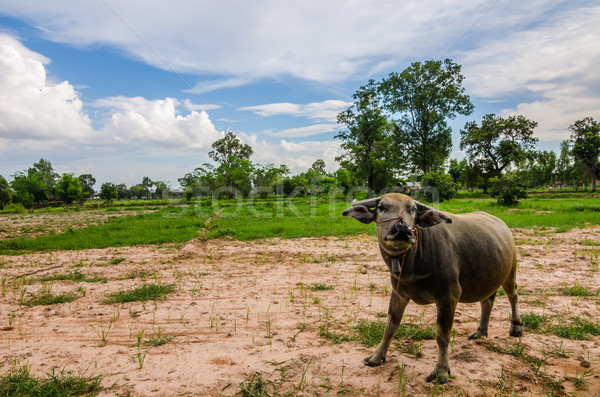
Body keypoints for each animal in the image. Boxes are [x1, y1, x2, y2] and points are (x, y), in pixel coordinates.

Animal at [344, 193, 524, 382]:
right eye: (381, 207)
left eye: (413, 209)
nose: (402, 230)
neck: (412, 263)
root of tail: (504, 226)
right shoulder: (399, 293)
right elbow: (390, 327)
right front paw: (377, 357)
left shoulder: (449, 296)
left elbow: (442, 336)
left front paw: (441, 371)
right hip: (487, 278)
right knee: (487, 301)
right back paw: (480, 331)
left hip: (511, 271)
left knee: (513, 295)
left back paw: (516, 328)